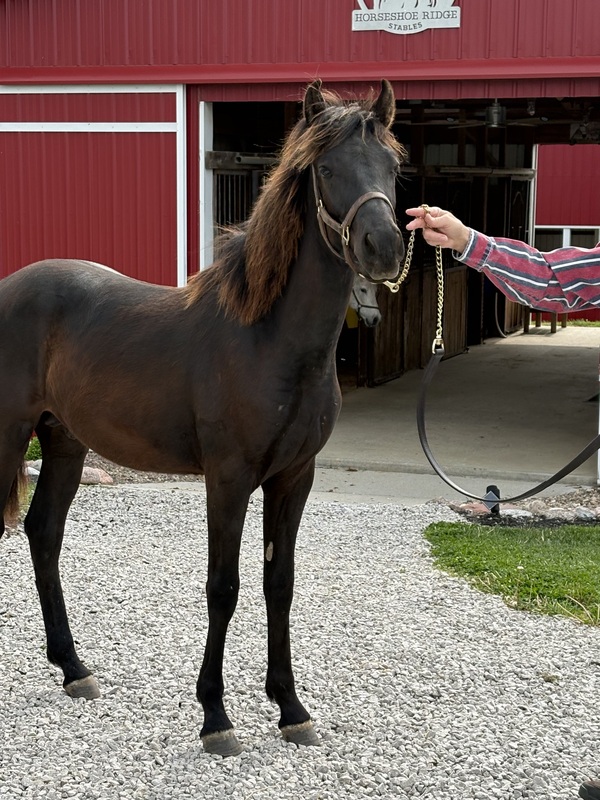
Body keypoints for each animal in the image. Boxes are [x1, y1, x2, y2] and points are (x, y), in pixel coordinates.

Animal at [0, 79, 406, 756]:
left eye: (393, 168)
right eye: (326, 169)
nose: (384, 248)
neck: (269, 339)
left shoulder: (294, 478)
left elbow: (279, 586)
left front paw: (291, 709)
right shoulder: (229, 477)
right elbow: (224, 588)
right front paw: (216, 716)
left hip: (63, 442)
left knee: (43, 533)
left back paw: (74, 668)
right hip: (8, 436)